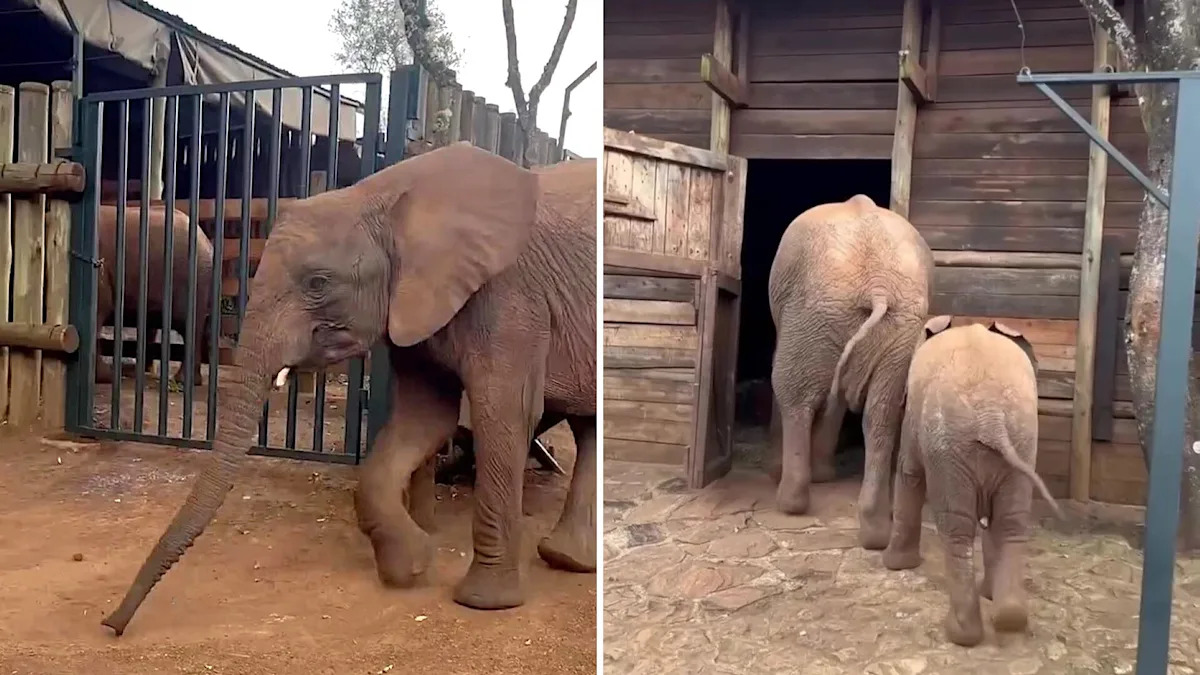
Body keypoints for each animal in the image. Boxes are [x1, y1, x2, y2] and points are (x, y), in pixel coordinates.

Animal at [766, 194, 934, 549]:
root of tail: (878, 285)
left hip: (814, 310)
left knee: (793, 394)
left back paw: (789, 500)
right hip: (898, 327)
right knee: (882, 415)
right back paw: (875, 530)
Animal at [882, 317, 1062, 647]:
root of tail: (991, 417)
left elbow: (909, 473)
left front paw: (896, 565)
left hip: (951, 445)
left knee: (956, 528)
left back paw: (960, 633)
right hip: (1020, 437)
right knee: (1009, 522)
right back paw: (1009, 618)